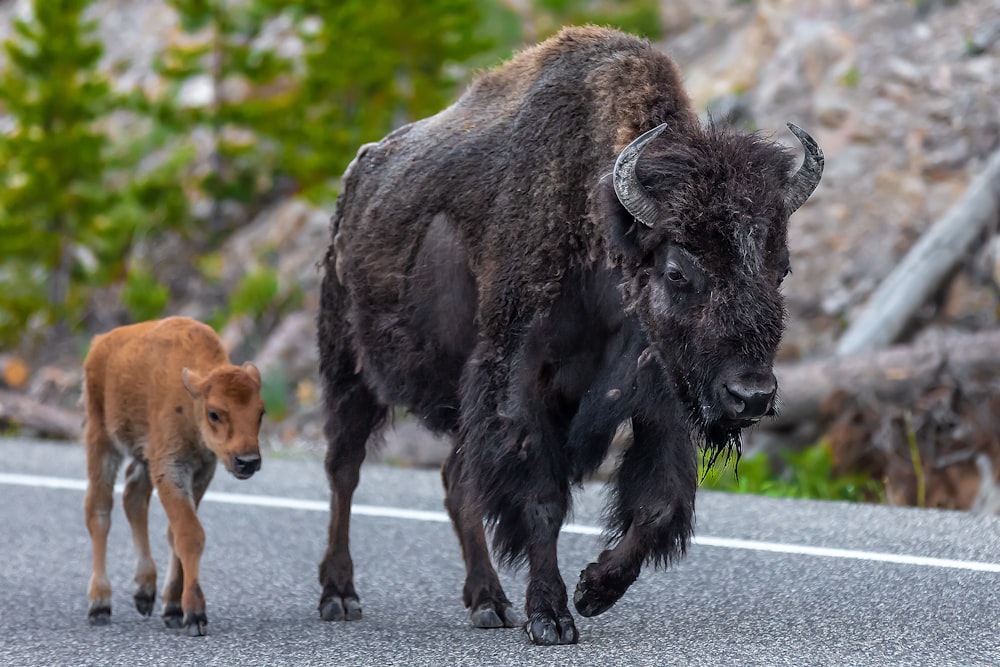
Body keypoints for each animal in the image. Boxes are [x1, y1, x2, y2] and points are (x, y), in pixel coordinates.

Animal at [82, 318, 264, 636]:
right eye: (214, 413)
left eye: (261, 413)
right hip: (101, 439)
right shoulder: (170, 468)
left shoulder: (200, 471)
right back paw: (100, 605)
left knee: (133, 497)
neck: (191, 400)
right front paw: (195, 615)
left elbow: (174, 534)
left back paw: (145, 593)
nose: (248, 462)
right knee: (100, 512)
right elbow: (190, 534)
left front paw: (173, 609)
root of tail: (100, 343)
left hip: (143, 457)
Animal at [316, 26, 824, 648]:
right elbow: (543, 501)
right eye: (678, 271)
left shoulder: (658, 393)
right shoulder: (521, 386)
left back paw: (489, 602)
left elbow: (659, 503)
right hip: (349, 369)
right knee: (345, 469)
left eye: (781, 269)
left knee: (456, 481)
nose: (750, 395)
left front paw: (595, 589)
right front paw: (551, 616)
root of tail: (353, 187)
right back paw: (340, 594)